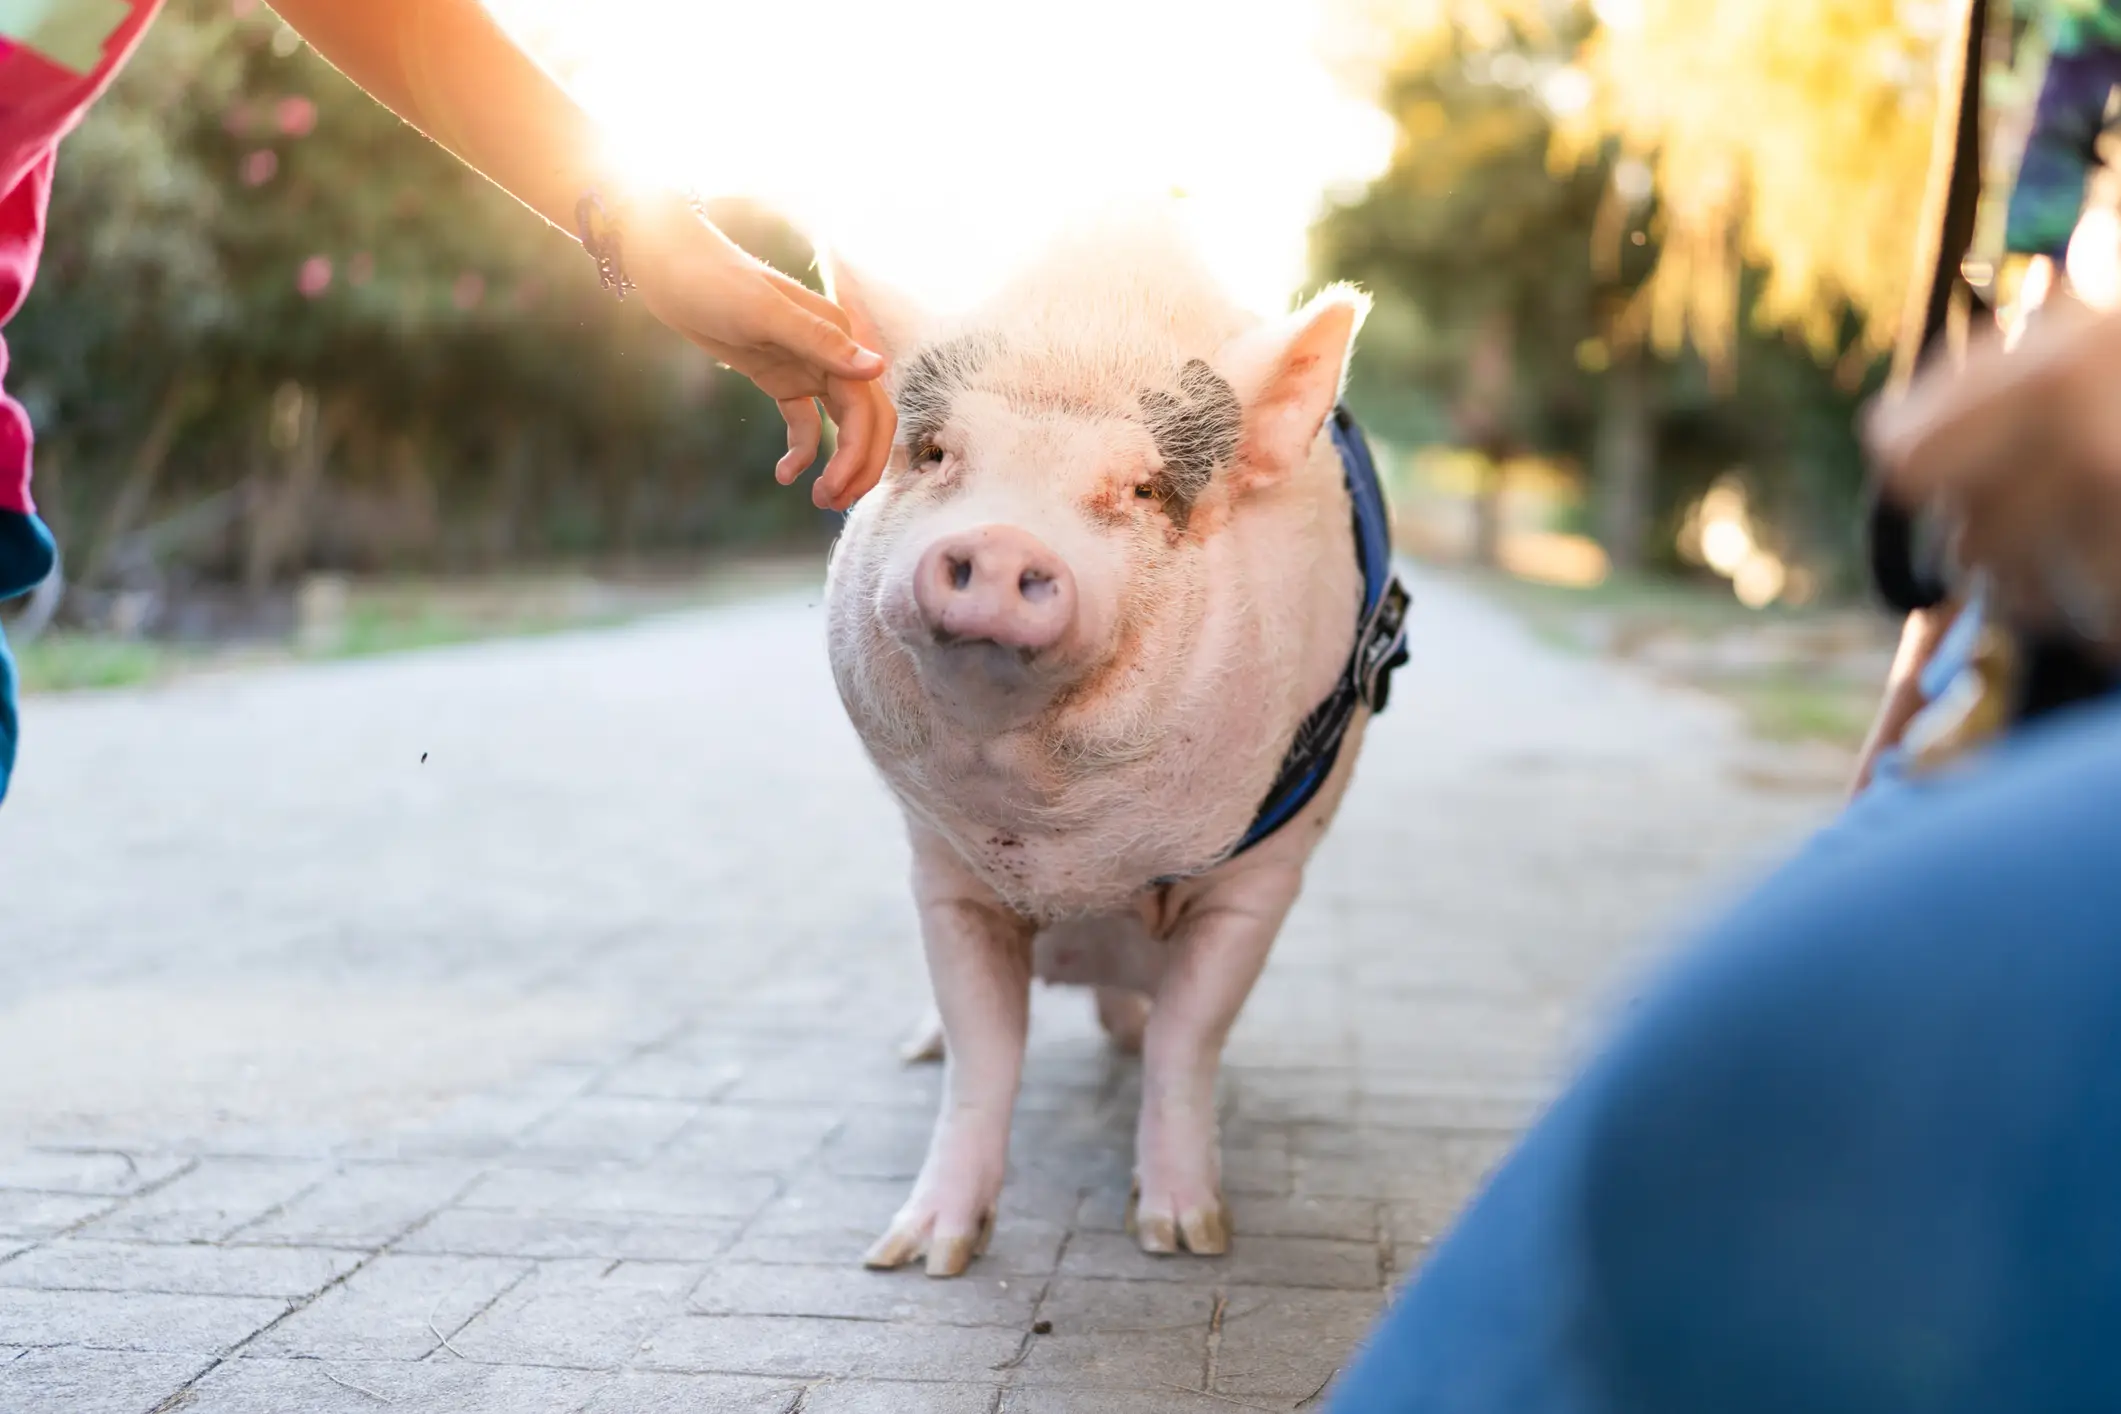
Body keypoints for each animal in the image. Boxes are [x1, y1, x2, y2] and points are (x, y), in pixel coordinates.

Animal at [822, 217, 1403, 1277]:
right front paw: (918, 1257)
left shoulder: (1260, 881)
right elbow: (984, 1055)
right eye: (934, 452)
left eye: (1138, 487)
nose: (1003, 544)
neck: (1071, 868)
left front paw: (1183, 1239)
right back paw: (916, 1055)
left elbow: (1188, 1041)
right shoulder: (942, 871)